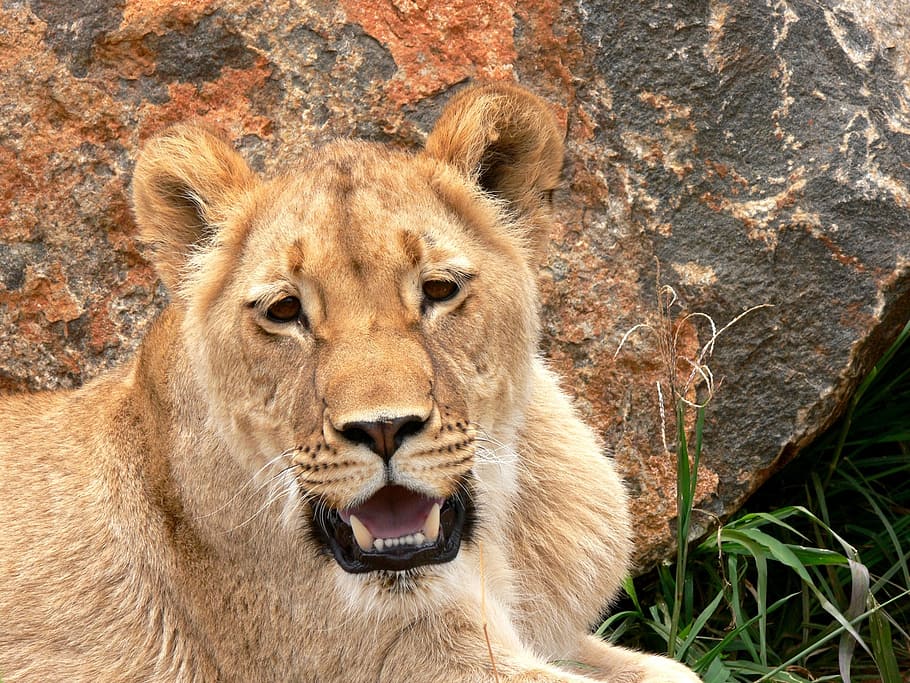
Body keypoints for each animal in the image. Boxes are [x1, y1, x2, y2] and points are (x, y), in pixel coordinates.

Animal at [0, 83, 700, 682]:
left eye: (438, 291)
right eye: (285, 310)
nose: (384, 429)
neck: (490, 553)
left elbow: (673, 671)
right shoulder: (403, 659)